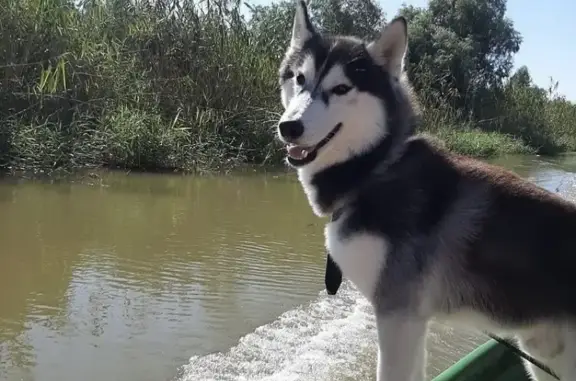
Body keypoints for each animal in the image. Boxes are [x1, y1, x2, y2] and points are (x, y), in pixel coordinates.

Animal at [274, 1, 576, 378]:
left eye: (342, 88)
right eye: (299, 79)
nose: (289, 127)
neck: (376, 170)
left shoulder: (397, 315)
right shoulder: (413, 322)